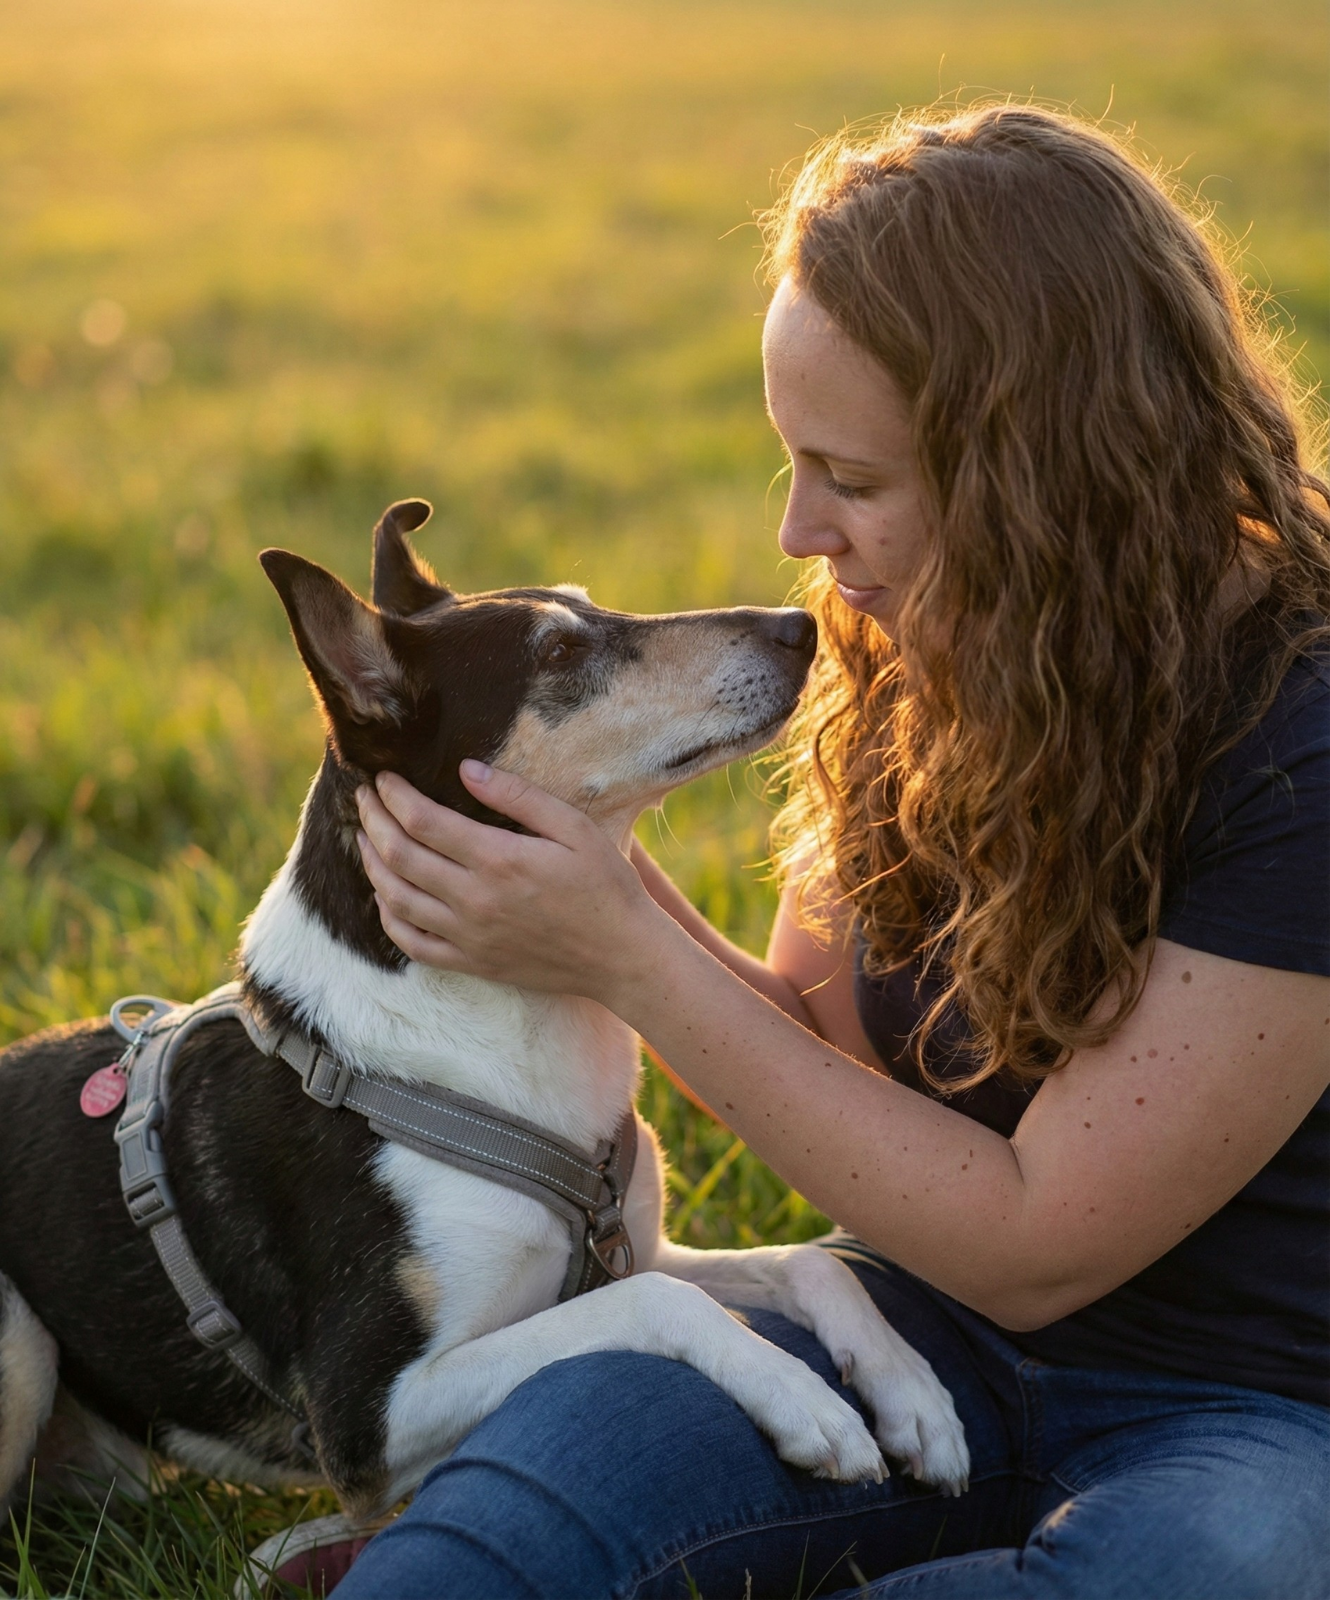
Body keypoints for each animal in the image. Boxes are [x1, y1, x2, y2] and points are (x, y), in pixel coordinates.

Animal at [0, 500, 968, 1524]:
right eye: (557, 653)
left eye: (591, 605)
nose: (800, 626)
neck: (486, 1036)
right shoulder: (369, 1416)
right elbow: (657, 1305)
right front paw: (808, 1403)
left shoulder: (636, 1246)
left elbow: (812, 1261)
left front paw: (915, 1402)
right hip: (18, 1338)